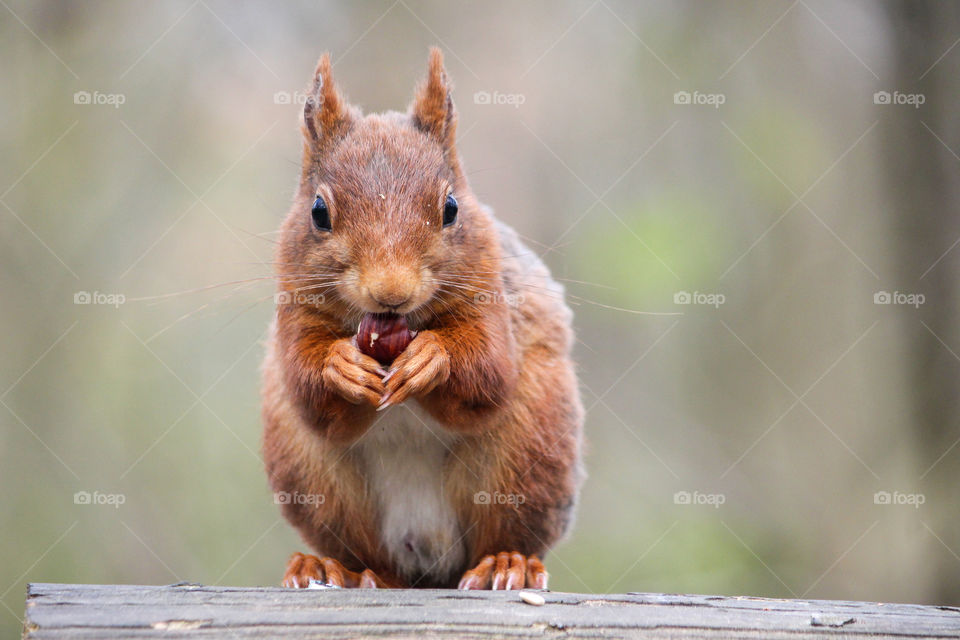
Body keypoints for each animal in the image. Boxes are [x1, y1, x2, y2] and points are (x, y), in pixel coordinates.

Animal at [261, 48, 584, 590]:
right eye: (318, 212)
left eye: (451, 208)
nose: (391, 293)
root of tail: (427, 560)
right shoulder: (296, 308)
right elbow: (309, 391)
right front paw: (338, 366)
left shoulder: (494, 297)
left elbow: (488, 371)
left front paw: (433, 356)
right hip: (314, 476)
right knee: (367, 555)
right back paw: (335, 568)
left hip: (528, 449)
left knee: (504, 533)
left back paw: (507, 564)